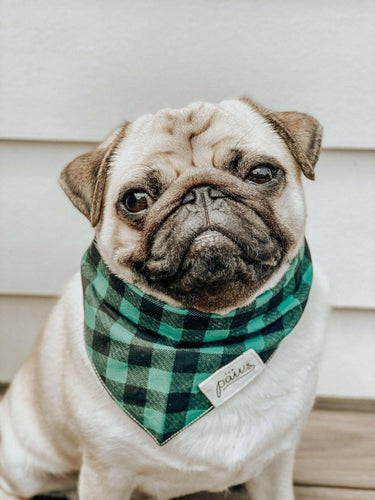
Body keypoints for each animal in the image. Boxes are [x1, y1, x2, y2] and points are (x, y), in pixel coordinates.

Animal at [0, 98, 328, 500]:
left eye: (262, 174)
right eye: (136, 200)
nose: (200, 191)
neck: (208, 336)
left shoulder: (276, 461)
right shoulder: (106, 472)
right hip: (25, 460)